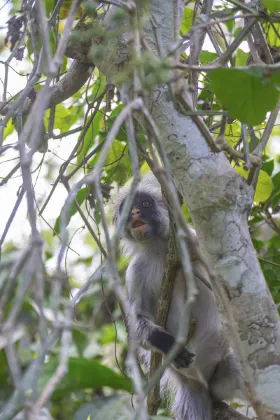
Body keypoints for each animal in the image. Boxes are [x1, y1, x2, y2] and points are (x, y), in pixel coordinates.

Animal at [114, 172, 243, 418]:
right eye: (128, 207)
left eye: (145, 204)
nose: (134, 213)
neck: (160, 250)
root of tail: (197, 383)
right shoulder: (136, 271)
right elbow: (137, 325)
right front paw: (166, 343)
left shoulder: (191, 241)